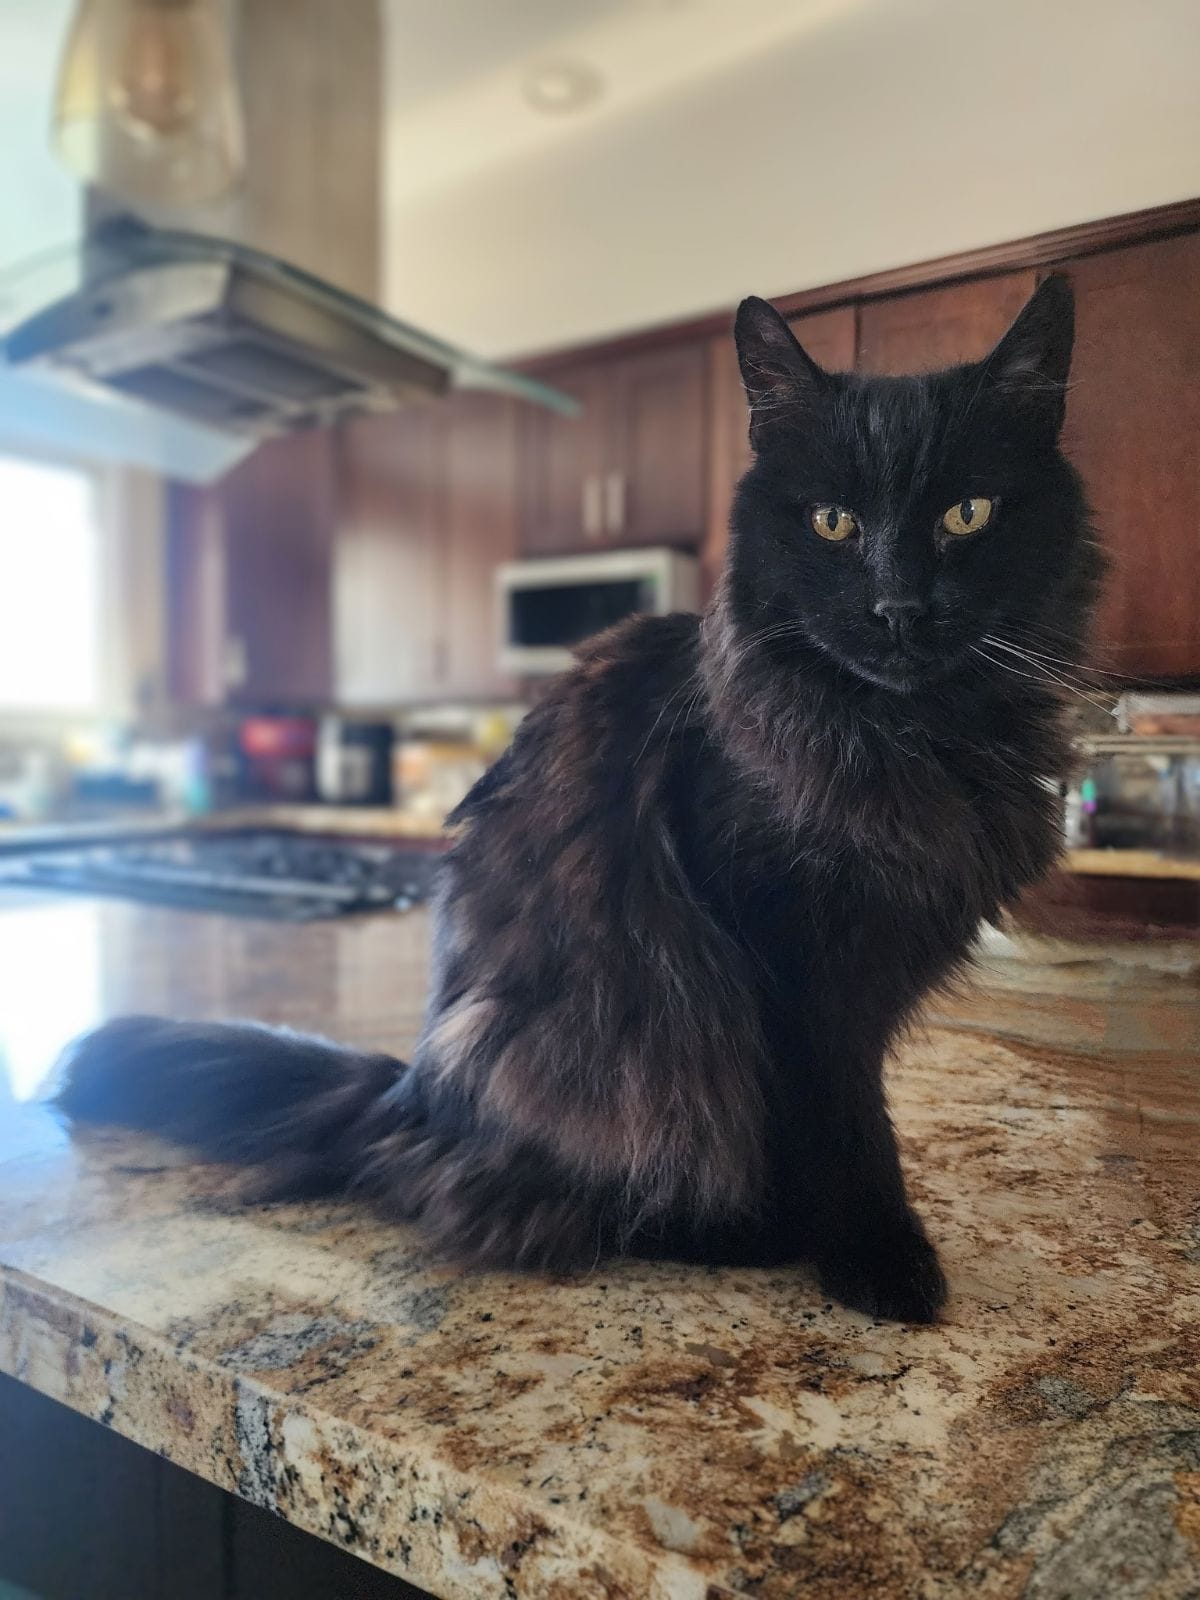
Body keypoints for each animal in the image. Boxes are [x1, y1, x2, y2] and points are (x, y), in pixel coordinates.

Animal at [56, 275, 1102, 1323]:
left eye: (968, 513)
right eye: (832, 523)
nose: (897, 609)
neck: (919, 737)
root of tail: (408, 1093)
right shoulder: (786, 965)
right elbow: (841, 1122)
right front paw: (871, 1255)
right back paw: (726, 1231)